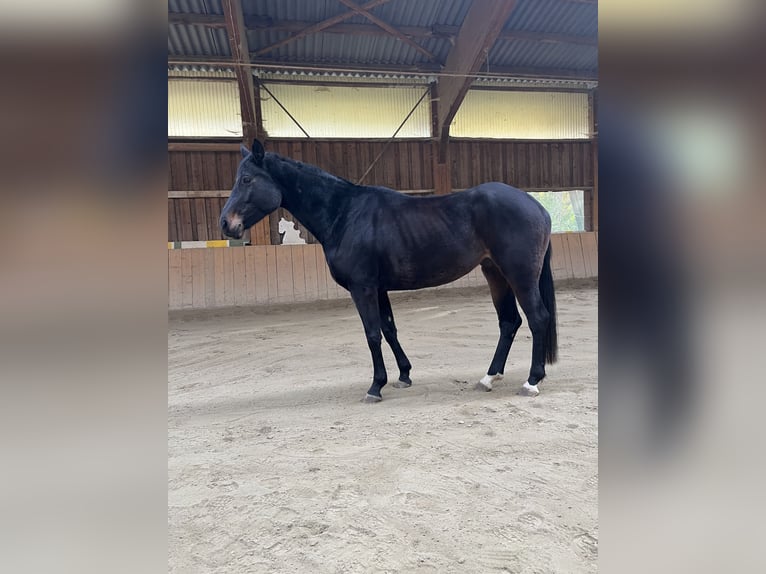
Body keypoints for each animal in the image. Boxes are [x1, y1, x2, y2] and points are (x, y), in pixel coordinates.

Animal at [220, 139, 557, 402]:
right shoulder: (378, 288)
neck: (344, 213)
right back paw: (489, 378)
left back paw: (531, 381)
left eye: (247, 179)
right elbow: (389, 329)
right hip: (495, 273)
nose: (226, 224)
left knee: (537, 318)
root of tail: (538, 207)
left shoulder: (363, 288)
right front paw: (403, 375)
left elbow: (372, 334)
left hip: (520, 275)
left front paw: (375, 386)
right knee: (509, 322)